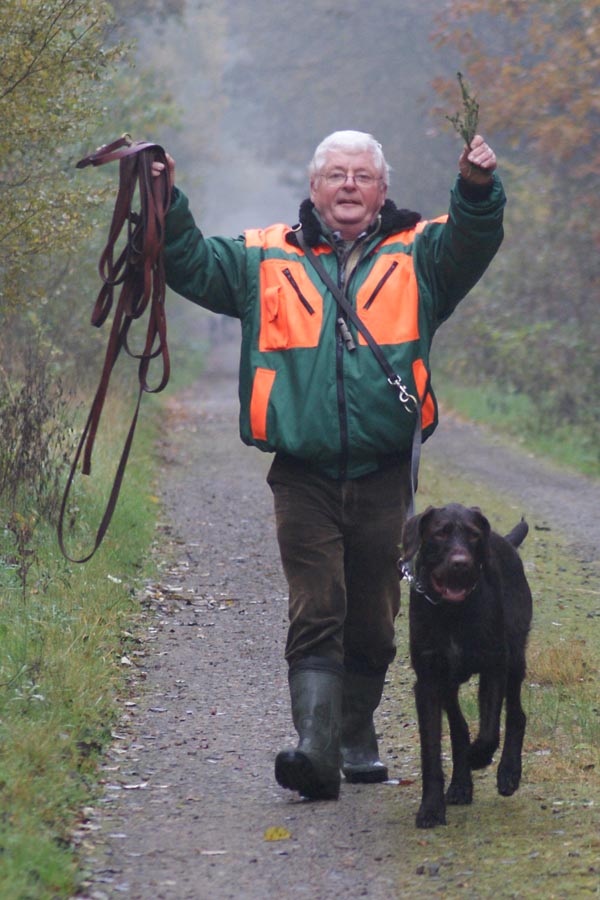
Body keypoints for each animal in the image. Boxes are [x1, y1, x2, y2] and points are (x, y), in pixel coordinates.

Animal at [401, 503, 533, 829]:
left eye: (473, 535)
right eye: (440, 533)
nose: (461, 564)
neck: (452, 613)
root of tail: (507, 542)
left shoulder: (495, 667)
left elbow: (488, 731)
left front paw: (479, 757)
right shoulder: (429, 682)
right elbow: (431, 751)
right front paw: (431, 808)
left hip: (515, 658)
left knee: (516, 715)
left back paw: (508, 772)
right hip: (448, 683)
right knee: (459, 728)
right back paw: (460, 785)